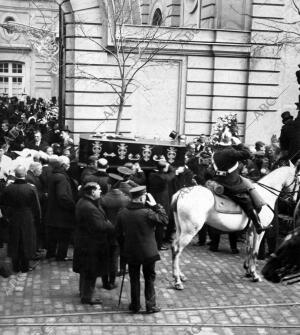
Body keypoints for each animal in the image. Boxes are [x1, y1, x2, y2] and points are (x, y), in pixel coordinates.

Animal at [170, 167, 298, 290]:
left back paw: (181, 276)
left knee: (175, 248)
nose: (294, 201)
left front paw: (248, 270)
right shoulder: (259, 231)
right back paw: (177, 281)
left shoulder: (250, 230)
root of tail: (181, 192)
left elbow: (249, 249)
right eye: (299, 178)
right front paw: (254, 275)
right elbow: (255, 251)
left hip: (180, 229)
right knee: (177, 250)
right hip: (189, 231)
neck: (264, 194)